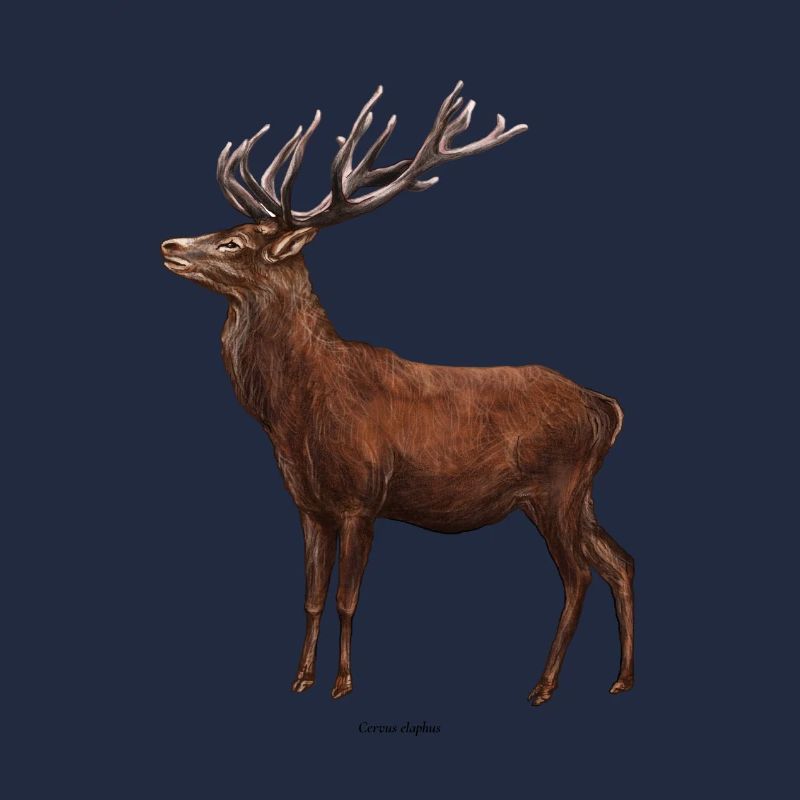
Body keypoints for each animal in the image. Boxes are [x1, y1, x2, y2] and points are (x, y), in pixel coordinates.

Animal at [161, 82, 634, 706]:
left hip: (555, 487)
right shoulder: (309, 505)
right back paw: (621, 678)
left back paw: (543, 685)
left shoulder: (362, 497)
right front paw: (300, 677)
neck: (291, 413)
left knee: (578, 576)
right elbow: (311, 597)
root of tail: (606, 406)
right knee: (620, 562)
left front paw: (342, 682)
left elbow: (346, 599)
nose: (168, 244)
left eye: (232, 242)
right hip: (580, 494)